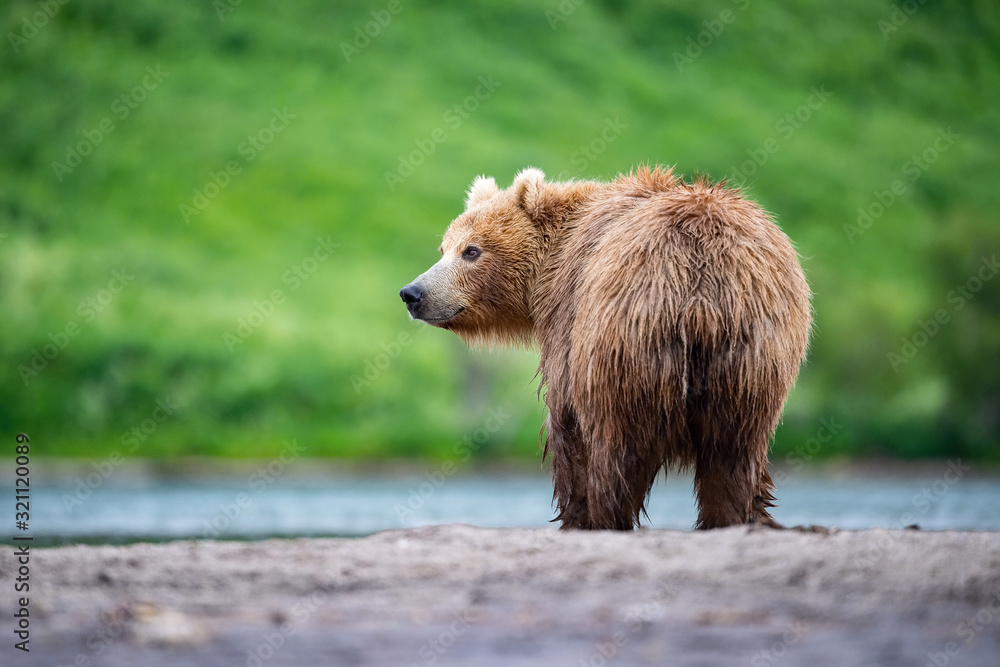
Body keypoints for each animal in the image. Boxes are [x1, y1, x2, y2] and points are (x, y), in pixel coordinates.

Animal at [400, 166, 811, 530]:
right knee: (735, 455)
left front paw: (573, 513)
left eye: (472, 251)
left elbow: (566, 423)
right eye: (443, 247)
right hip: (752, 357)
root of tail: (700, 280)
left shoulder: (568, 320)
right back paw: (734, 517)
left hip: (625, 343)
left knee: (616, 452)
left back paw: (605, 517)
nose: (413, 293)